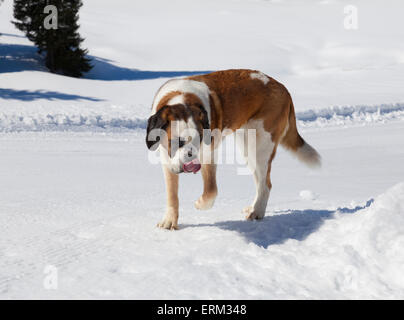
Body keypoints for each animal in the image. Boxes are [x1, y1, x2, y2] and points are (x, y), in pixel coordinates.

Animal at [147, 69, 320, 230]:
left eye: (199, 140)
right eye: (176, 141)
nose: (191, 160)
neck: (181, 97)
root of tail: (283, 88)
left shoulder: (208, 153)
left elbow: (211, 190)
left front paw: (201, 204)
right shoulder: (167, 158)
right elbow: (172, 193)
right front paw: (169, 221)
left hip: (260, 146)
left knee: (266, 184)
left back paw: (257, 212)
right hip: (248, 147)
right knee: (260, 181)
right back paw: (252, 208)